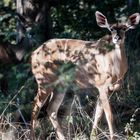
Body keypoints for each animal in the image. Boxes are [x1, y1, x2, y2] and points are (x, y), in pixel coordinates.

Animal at [30, 11, 139, 140]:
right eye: (111, 29)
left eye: (124, 28)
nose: (117, 38)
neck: (117, 71)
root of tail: (33, 54)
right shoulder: (102, 84)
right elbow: (109, 116)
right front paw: (113, 137)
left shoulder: (110, 88)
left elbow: (98, 113)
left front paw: (93, 136)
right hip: (44, 79)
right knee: (36, 106)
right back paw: (31, 136)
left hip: (61, 84)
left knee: (51, 109)